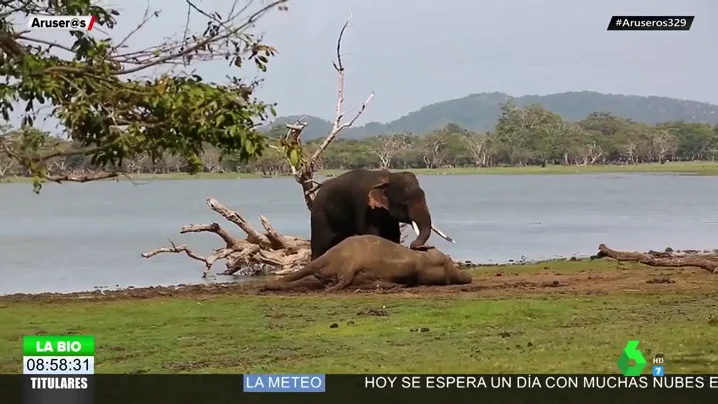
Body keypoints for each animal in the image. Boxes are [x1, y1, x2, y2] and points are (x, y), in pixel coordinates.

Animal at [310, 169, 456, 260]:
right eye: (405, 201)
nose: (423, 246)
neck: (388, 177)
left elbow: (393, 235)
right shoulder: (365, 208)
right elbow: (372, 233)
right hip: (319, 216)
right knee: (320, 245)